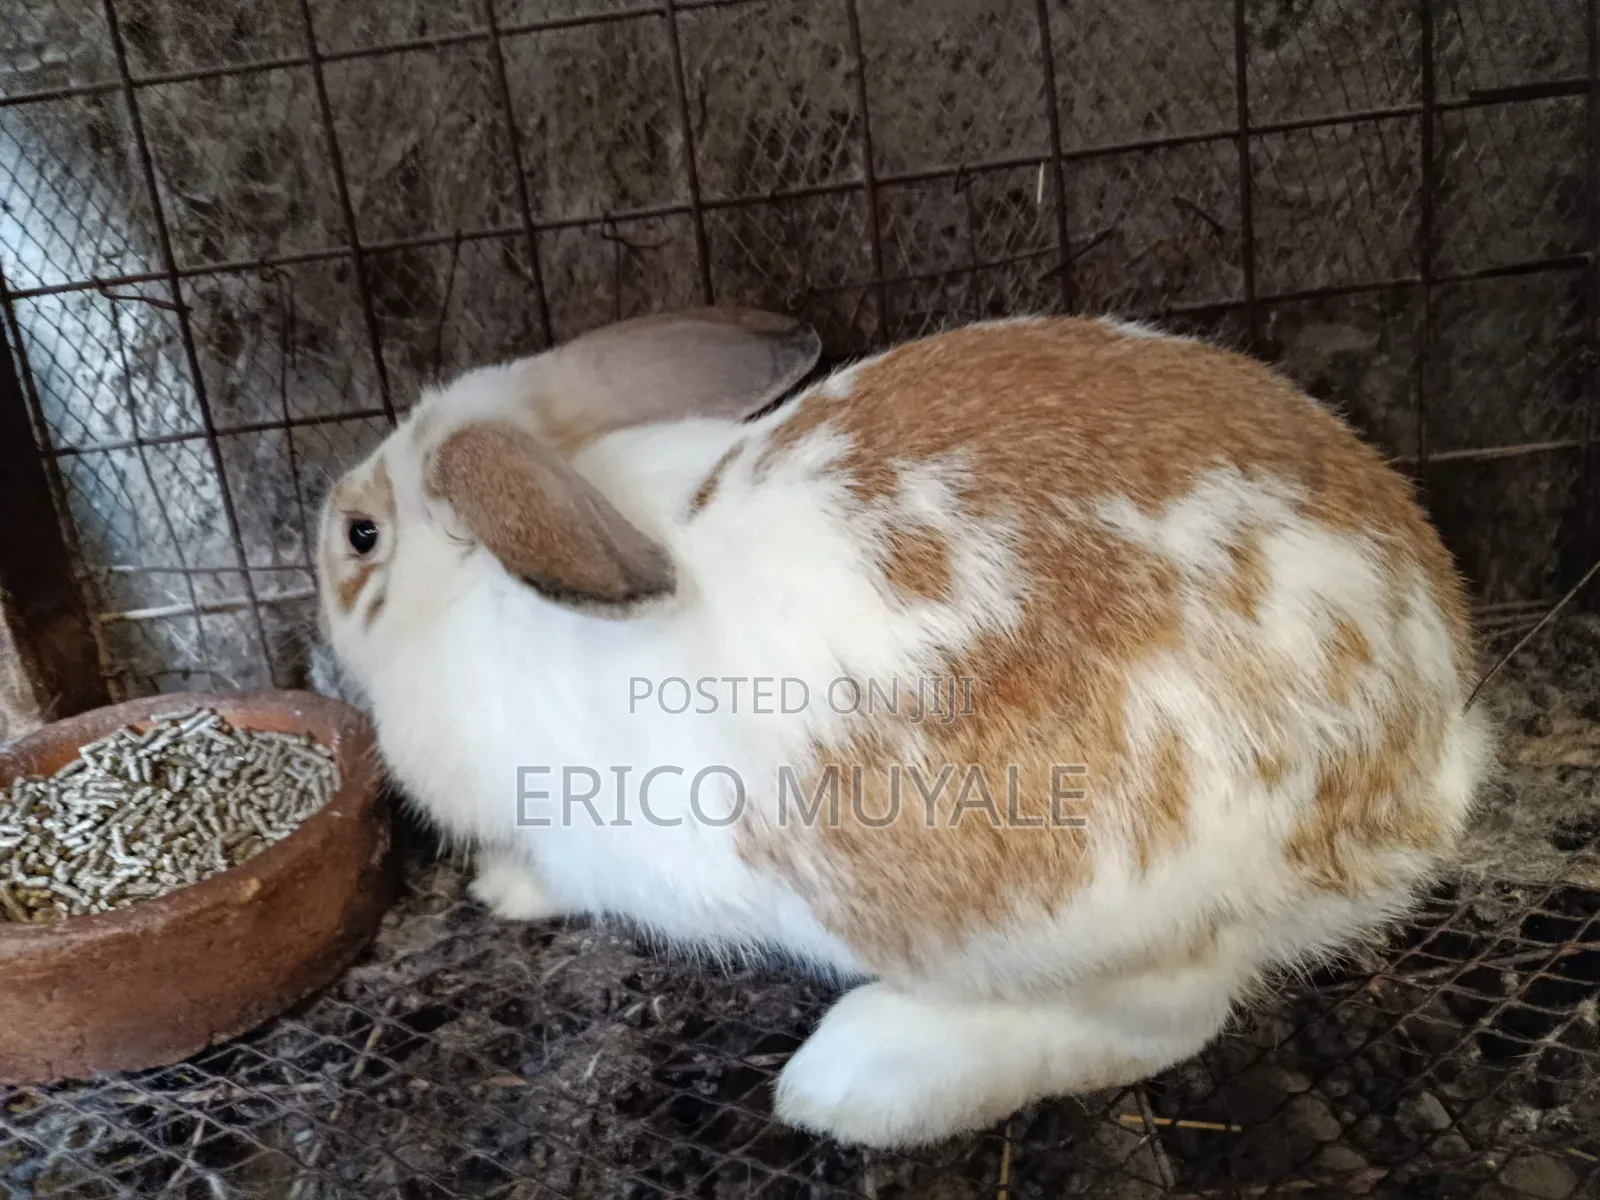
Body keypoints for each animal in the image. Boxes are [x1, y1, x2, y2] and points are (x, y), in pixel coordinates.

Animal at [313, 307, 1492, 1149]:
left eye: (361, 534)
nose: (320, 575)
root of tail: (1414, 751)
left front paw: (500, 890)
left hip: (1037, 903)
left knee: (1167, 1017)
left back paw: (855, 1084)